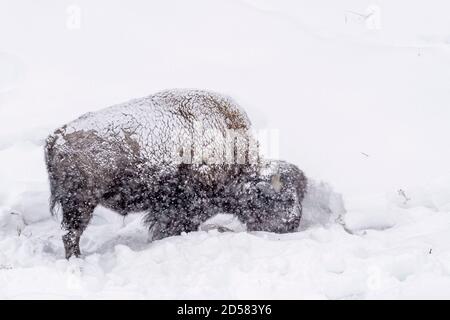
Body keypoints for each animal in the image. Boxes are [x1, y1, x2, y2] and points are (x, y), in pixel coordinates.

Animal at [44, 89, 308, 258]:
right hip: (80, 203)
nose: (291, 224)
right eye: (280, 199)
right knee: (71, 234)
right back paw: (77, 260)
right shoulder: (179, 208)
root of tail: (56, 136)